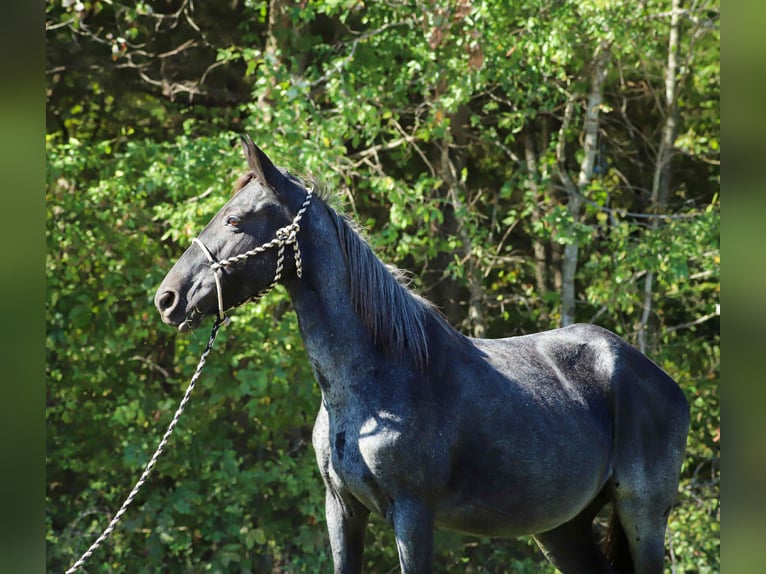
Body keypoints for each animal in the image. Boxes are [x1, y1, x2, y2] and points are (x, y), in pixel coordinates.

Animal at [154, 136, 689, 574]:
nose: (167, 299)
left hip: (643, 515)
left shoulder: (413, 515)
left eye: (235, 220)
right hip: (562, 527)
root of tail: (659, 379)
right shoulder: (341, 510)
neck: (373, 384)